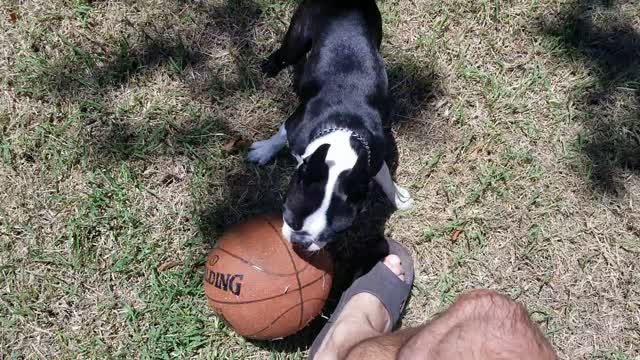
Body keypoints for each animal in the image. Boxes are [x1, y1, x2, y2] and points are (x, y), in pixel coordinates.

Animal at [248, 0, 412, 250]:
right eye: (288, 217)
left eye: (335, 233)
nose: (300, 242)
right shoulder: (295, 125)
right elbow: (280, 135)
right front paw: (264, 150)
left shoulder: (370, 159)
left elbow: (384, 176)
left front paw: (397, 196)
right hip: (298, 37)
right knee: (287, 52)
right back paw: (271, 65)